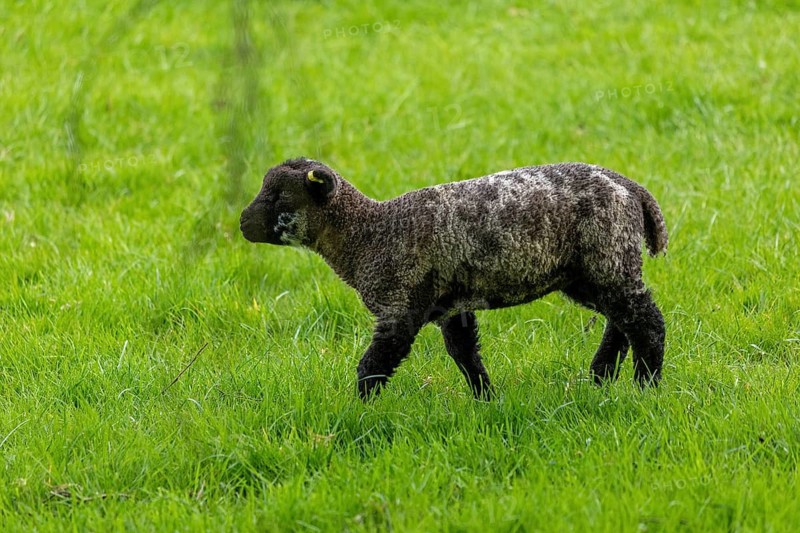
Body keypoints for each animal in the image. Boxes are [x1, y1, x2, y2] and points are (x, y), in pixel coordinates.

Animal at [240, 157, 668, 400]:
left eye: (279, 197)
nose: (243, 223)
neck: (369, 233)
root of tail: (631, 187)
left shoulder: (400, 306)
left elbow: (375, 364)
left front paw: (357, 409)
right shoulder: (451, 306)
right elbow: (464, 354)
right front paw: (486, 401)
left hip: (607, 255)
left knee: (647, 322)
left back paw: (646, 387)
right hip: (589, 272)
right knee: (620, 322)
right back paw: (600, 378)